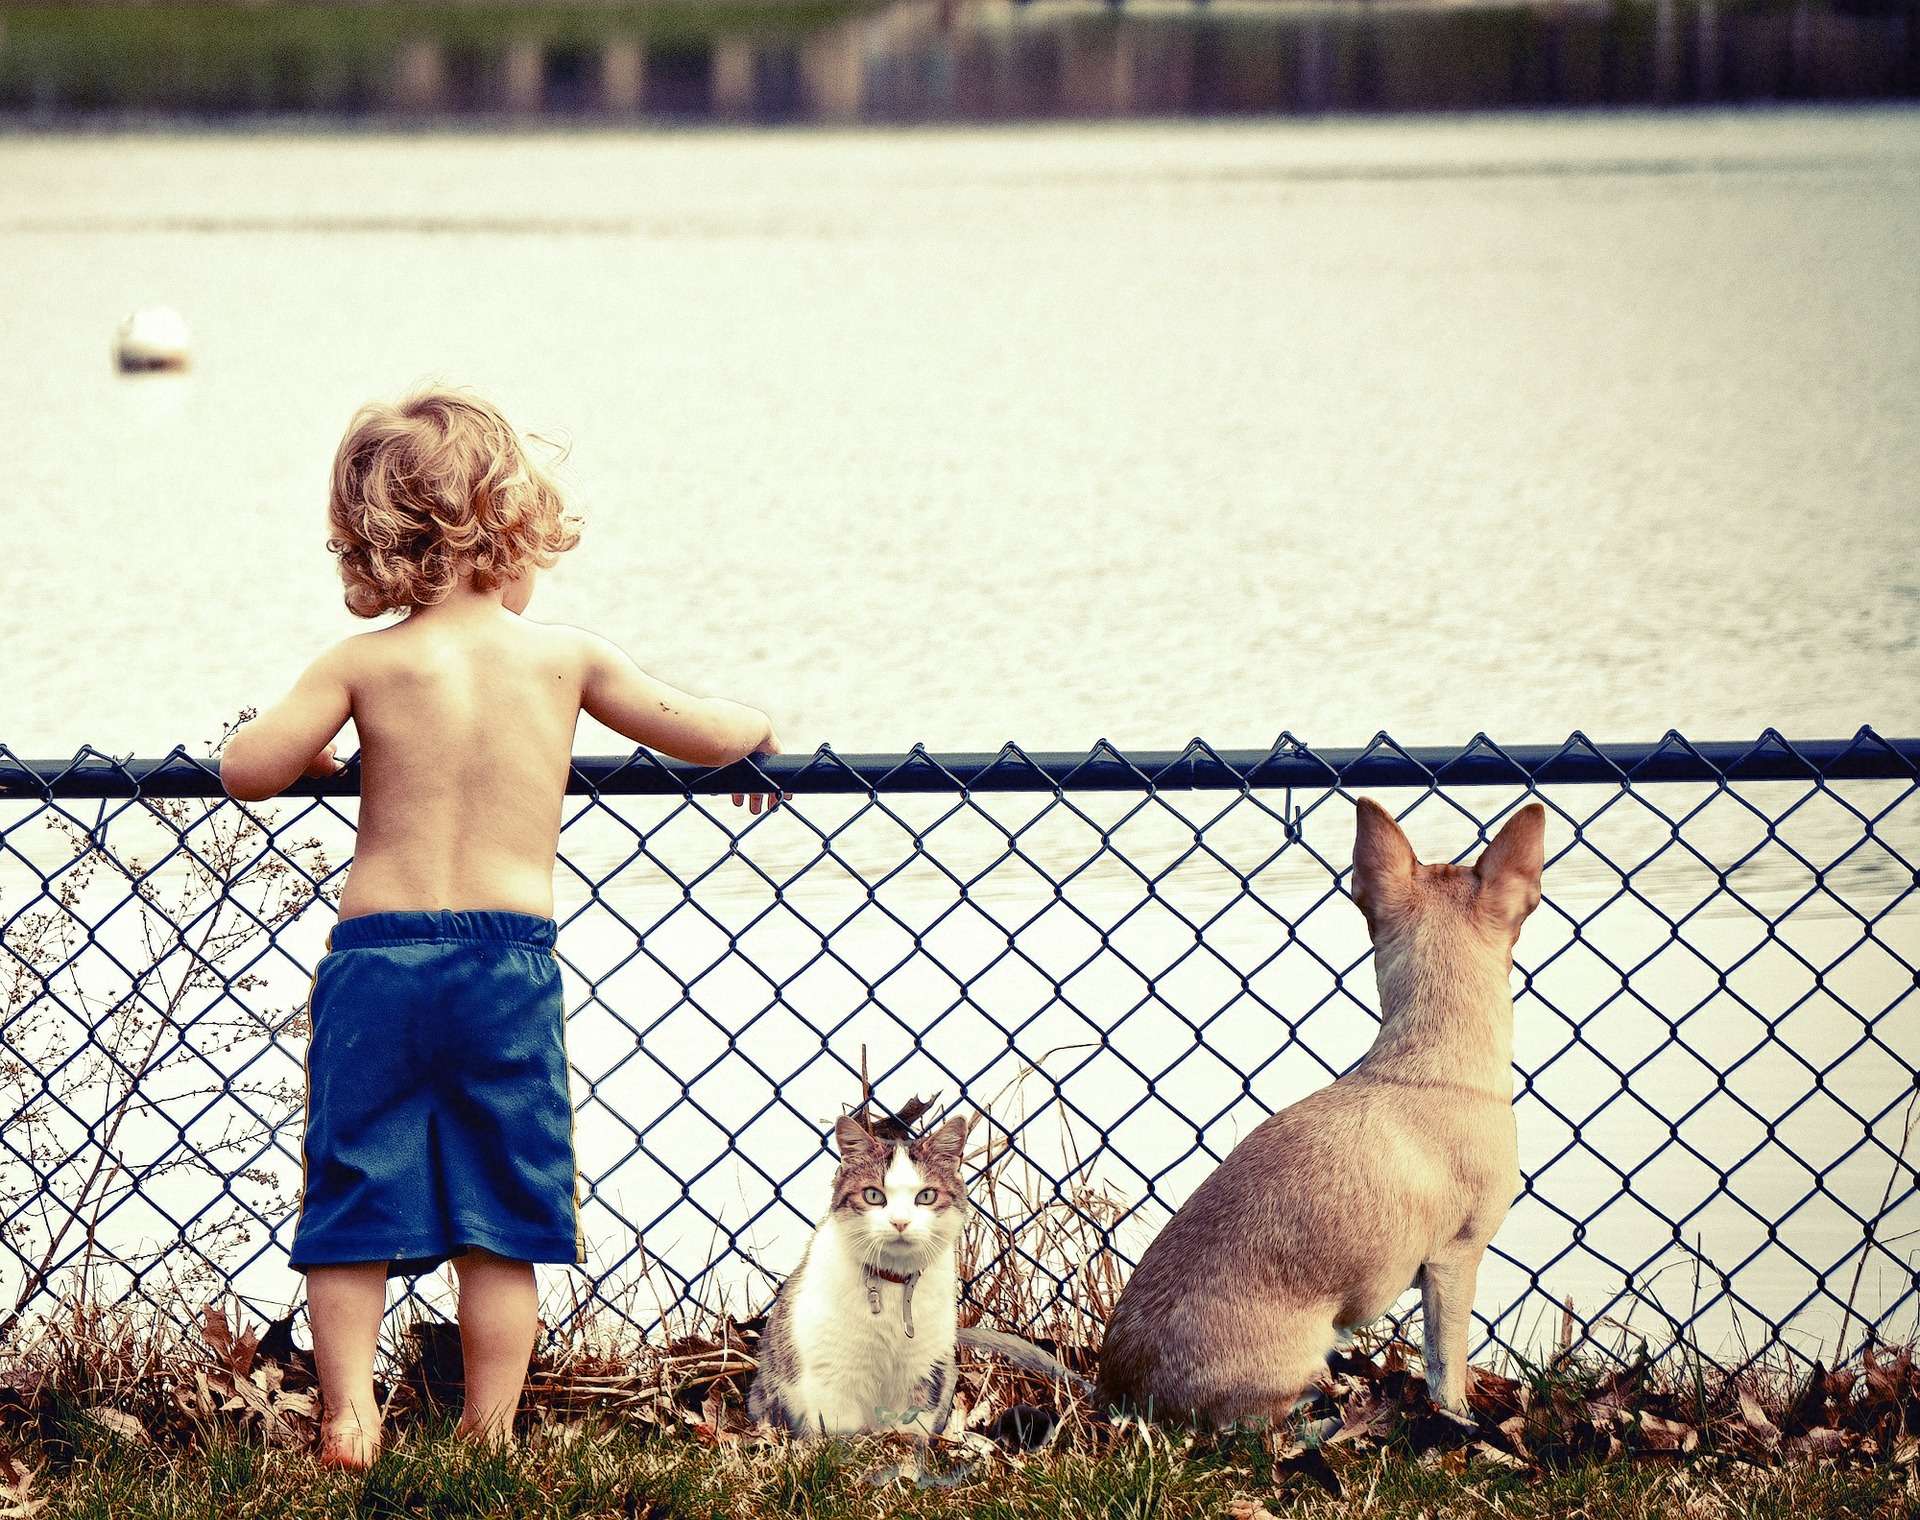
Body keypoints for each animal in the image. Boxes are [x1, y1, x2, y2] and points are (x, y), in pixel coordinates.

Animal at [1098, 794, 1543, 1427]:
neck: (1427, 1048)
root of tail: (1118, 1396)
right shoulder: (1455, 1260)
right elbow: (1446, 1360)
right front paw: (1456, 1418)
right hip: (1304, 1354)